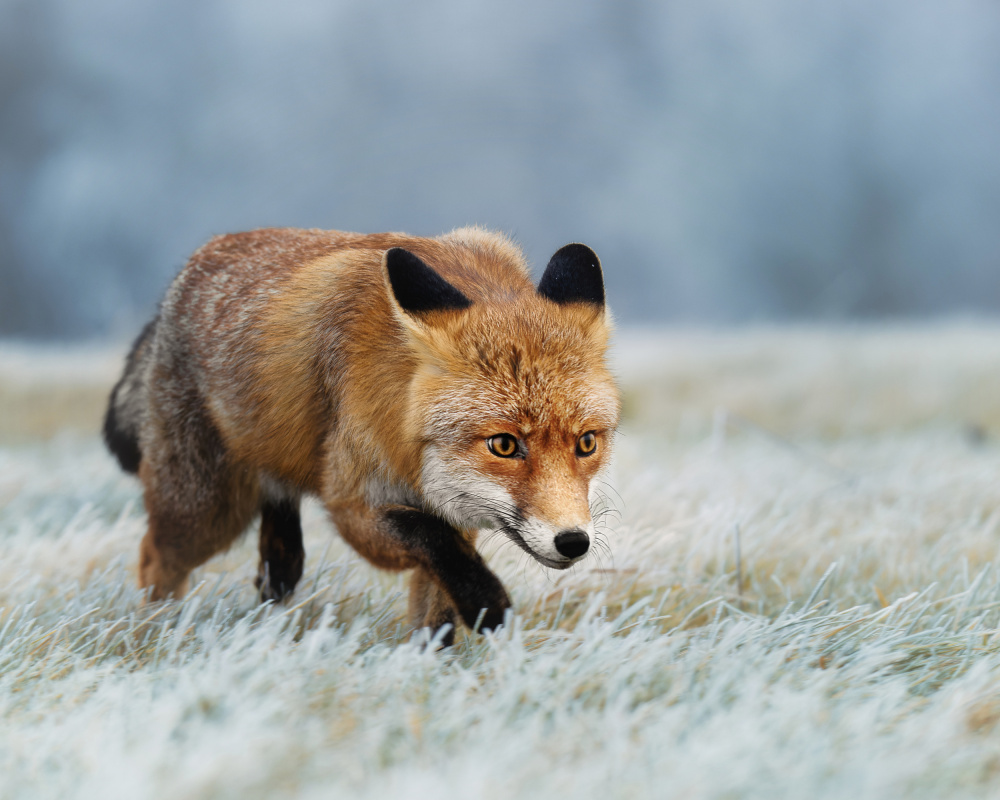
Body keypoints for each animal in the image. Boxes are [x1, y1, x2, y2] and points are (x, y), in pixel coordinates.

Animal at [103, 226, 620, 644]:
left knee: (279, 556)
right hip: (205, 509)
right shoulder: (353, 502)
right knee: (155, 558)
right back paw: (157, 636)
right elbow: (429, 537)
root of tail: (184, 274)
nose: (573, 542)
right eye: (505, 445)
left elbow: (436, 613)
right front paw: (486, 605)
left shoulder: (458, 510)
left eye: (587, 443)